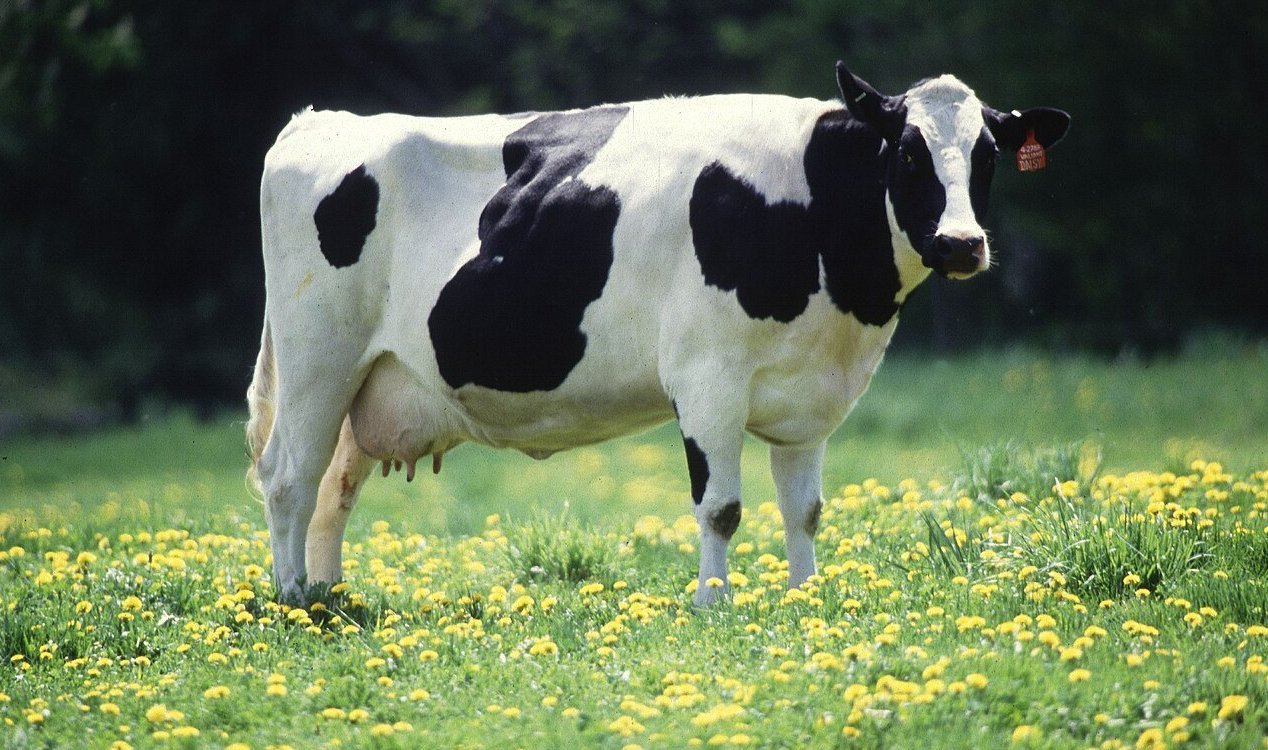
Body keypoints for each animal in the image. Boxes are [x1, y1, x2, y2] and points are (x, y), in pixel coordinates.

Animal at [246, 62, 1069, 606]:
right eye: (907, 151)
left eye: (988, 155)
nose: (962, 243)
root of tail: (319, 121)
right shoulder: (707, 377)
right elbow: (722, 506)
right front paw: (713, 604)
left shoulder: (810, 397)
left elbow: (804, 508)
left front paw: (806, 599)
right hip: (318, 357)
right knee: (289, 476)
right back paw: (294, 602)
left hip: (370, 379)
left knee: (333, 488)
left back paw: (331, 596)